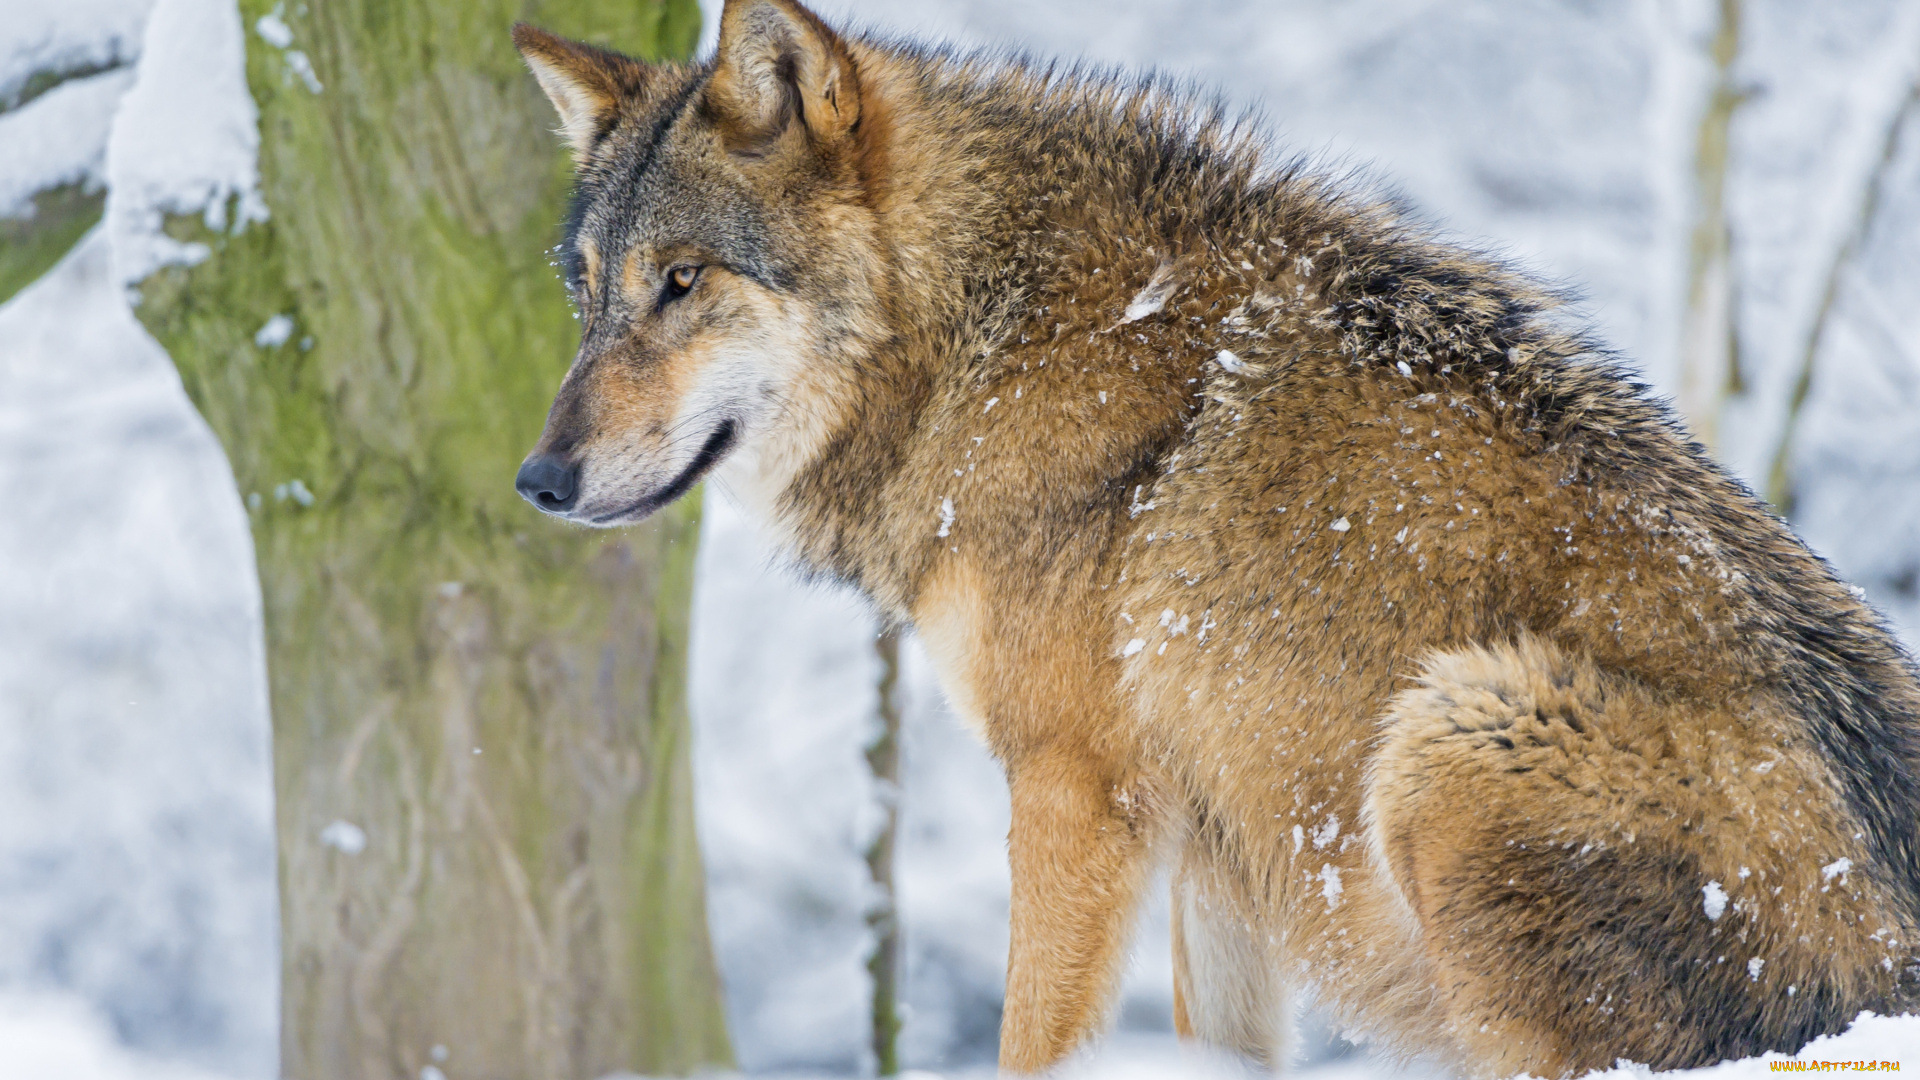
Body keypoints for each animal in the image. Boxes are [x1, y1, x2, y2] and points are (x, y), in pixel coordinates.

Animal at [510, 4, 1920, 1068]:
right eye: (586, 293)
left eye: (682, 282)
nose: (536, 479)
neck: (983, 335)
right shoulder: (1220, 846)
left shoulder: (1077, 790)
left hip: (1452, 729)